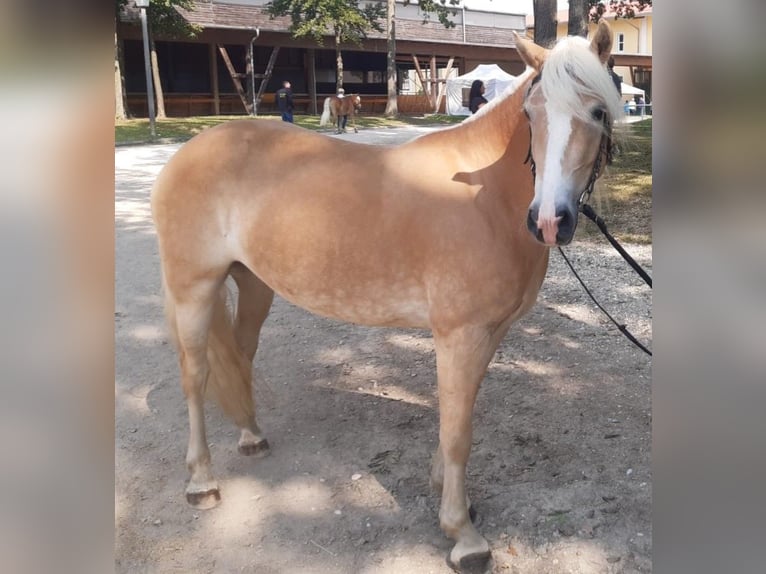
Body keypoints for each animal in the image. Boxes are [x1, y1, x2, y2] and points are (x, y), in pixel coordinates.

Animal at [152, 21, 624, 572]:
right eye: (532, 114)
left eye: (597, 111)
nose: (549, 221)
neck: (485, 195)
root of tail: (188, 153)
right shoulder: (459, 335)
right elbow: (458, 431)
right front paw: (462, 534)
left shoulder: (487, 334)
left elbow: (459, 416)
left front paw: (450, 495)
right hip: (193, 287)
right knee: (195, 376)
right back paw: (202, 482)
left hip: (253, 283)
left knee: (241, 354)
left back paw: (251, 436)